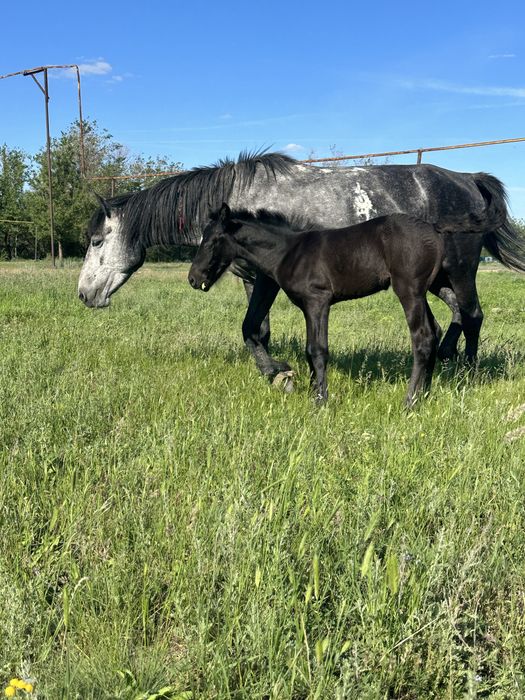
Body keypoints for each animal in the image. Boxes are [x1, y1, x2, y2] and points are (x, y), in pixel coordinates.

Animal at [77, 151, 525, 383]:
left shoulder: (263, 279)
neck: (241, 199)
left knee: (472, 314)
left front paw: (276, 373)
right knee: (457, 314)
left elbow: (251, 327)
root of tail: (468, 179)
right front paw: (274, 369)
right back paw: (447, 358)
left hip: (461, 270)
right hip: (435, 278)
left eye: (97, 241)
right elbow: (258, 329)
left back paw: (467, 372)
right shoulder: (254, 278)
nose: (84, 294)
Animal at [188, 203, 506, 406]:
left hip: (410, 289)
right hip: (433, 285)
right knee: (438, 328)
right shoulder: (308, 307)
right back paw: (424, 393)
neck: (289, 251)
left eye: (212, 241)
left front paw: (320, 400)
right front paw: (312, 392)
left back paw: (410, 401)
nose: (193, 278)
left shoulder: (318, 301)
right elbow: (309, 352)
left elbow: (317, 350)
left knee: (424, 337)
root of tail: (435, 227)